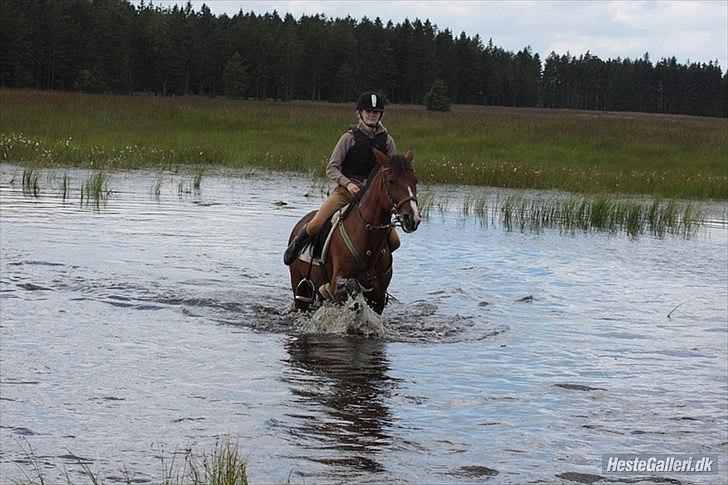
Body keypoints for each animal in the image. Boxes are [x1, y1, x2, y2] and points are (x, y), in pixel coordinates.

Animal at [286, 147, 418, 314]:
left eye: (415, 181)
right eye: (391, 181)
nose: (412, 218)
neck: (367, 237)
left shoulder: (379, 298)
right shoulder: (338, 282)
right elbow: (349, 287)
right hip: (299, 289)